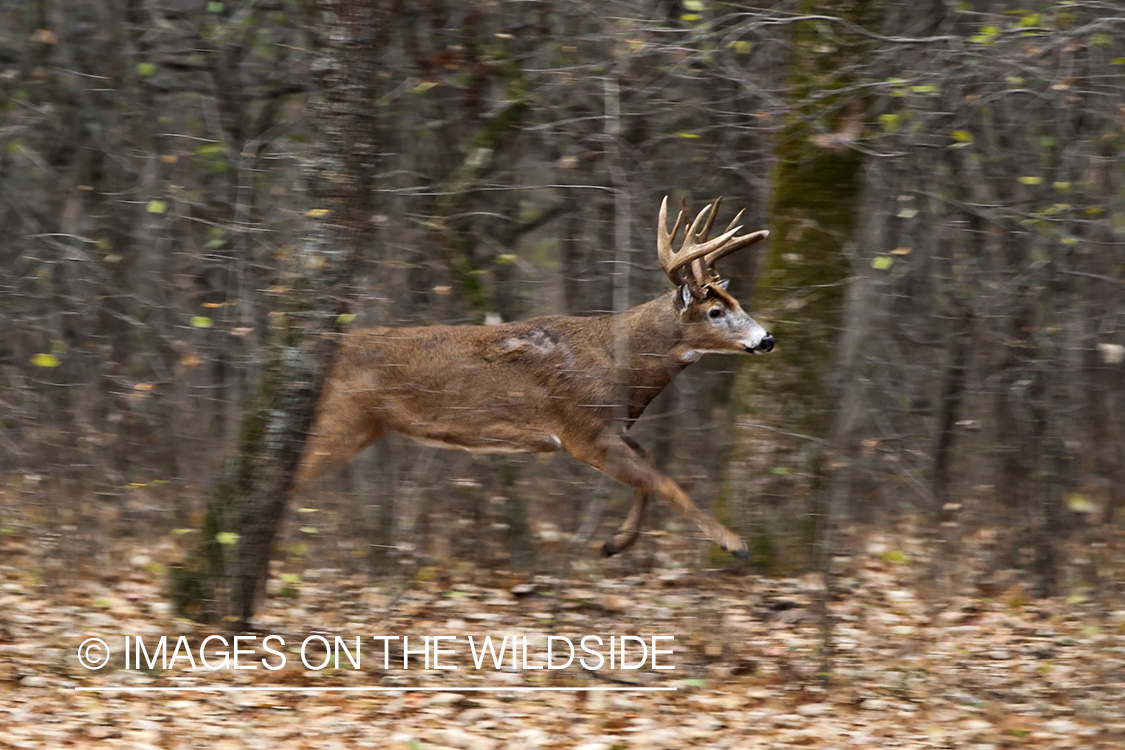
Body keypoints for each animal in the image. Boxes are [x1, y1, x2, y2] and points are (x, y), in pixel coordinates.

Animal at [294, 196, 778, 559]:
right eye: (715, 311)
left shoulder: (609, 427)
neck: (622, 365)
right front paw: (734, 543)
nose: (767, 339)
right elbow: (661, 481)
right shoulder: (581, 430)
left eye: (736, 302)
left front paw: (614, 543)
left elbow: (651, 467)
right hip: (343, 419)